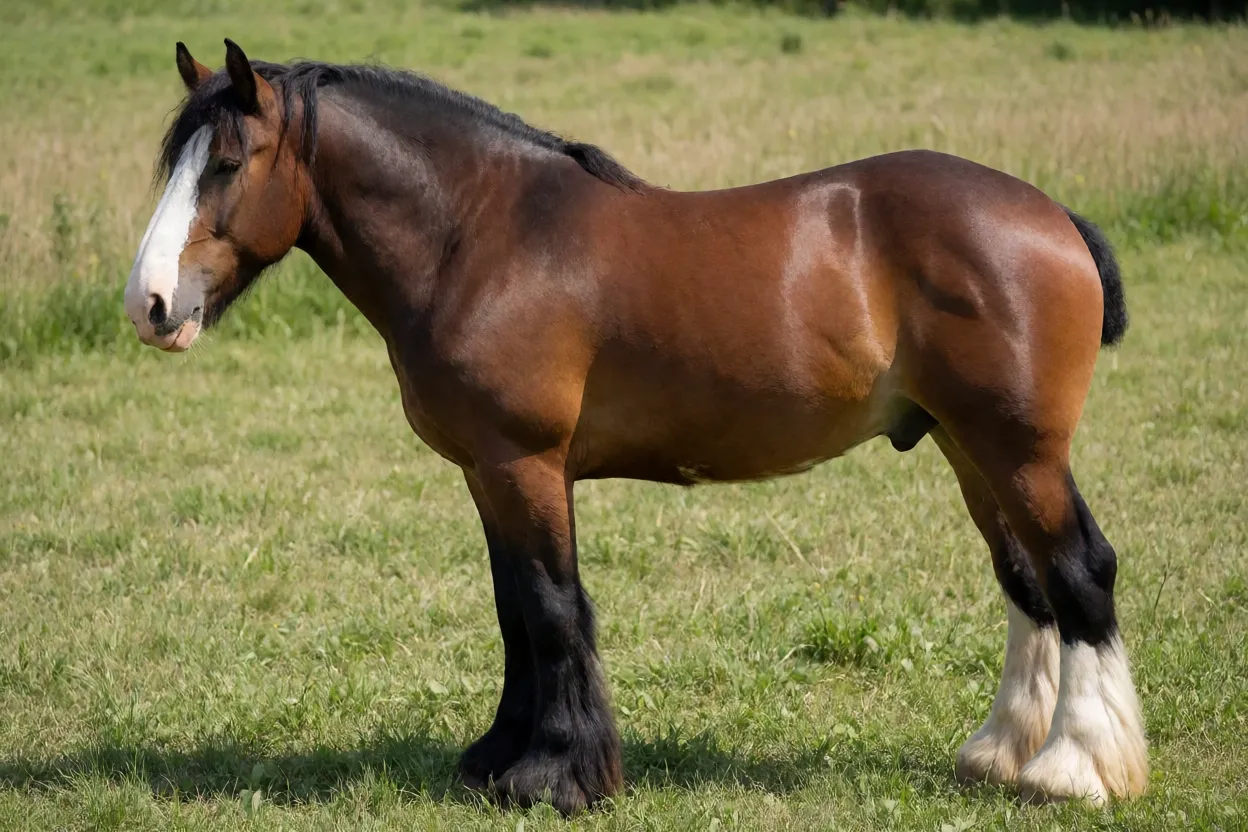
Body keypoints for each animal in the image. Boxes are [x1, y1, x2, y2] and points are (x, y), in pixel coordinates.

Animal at [124, 39, 1146, 814]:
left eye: (226, 164)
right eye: (174, 163)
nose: (150, 304)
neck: (482, 236)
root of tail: (1051, 214)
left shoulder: (526, 464)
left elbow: (551, 606)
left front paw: (558, 777)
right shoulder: (487, 472)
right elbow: (515, 609)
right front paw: (500, 758)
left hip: (1021, 451)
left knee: (1080, 572)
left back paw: (1075, 769)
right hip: (970, 449)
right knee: (1027, 584)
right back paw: (1000, 752)